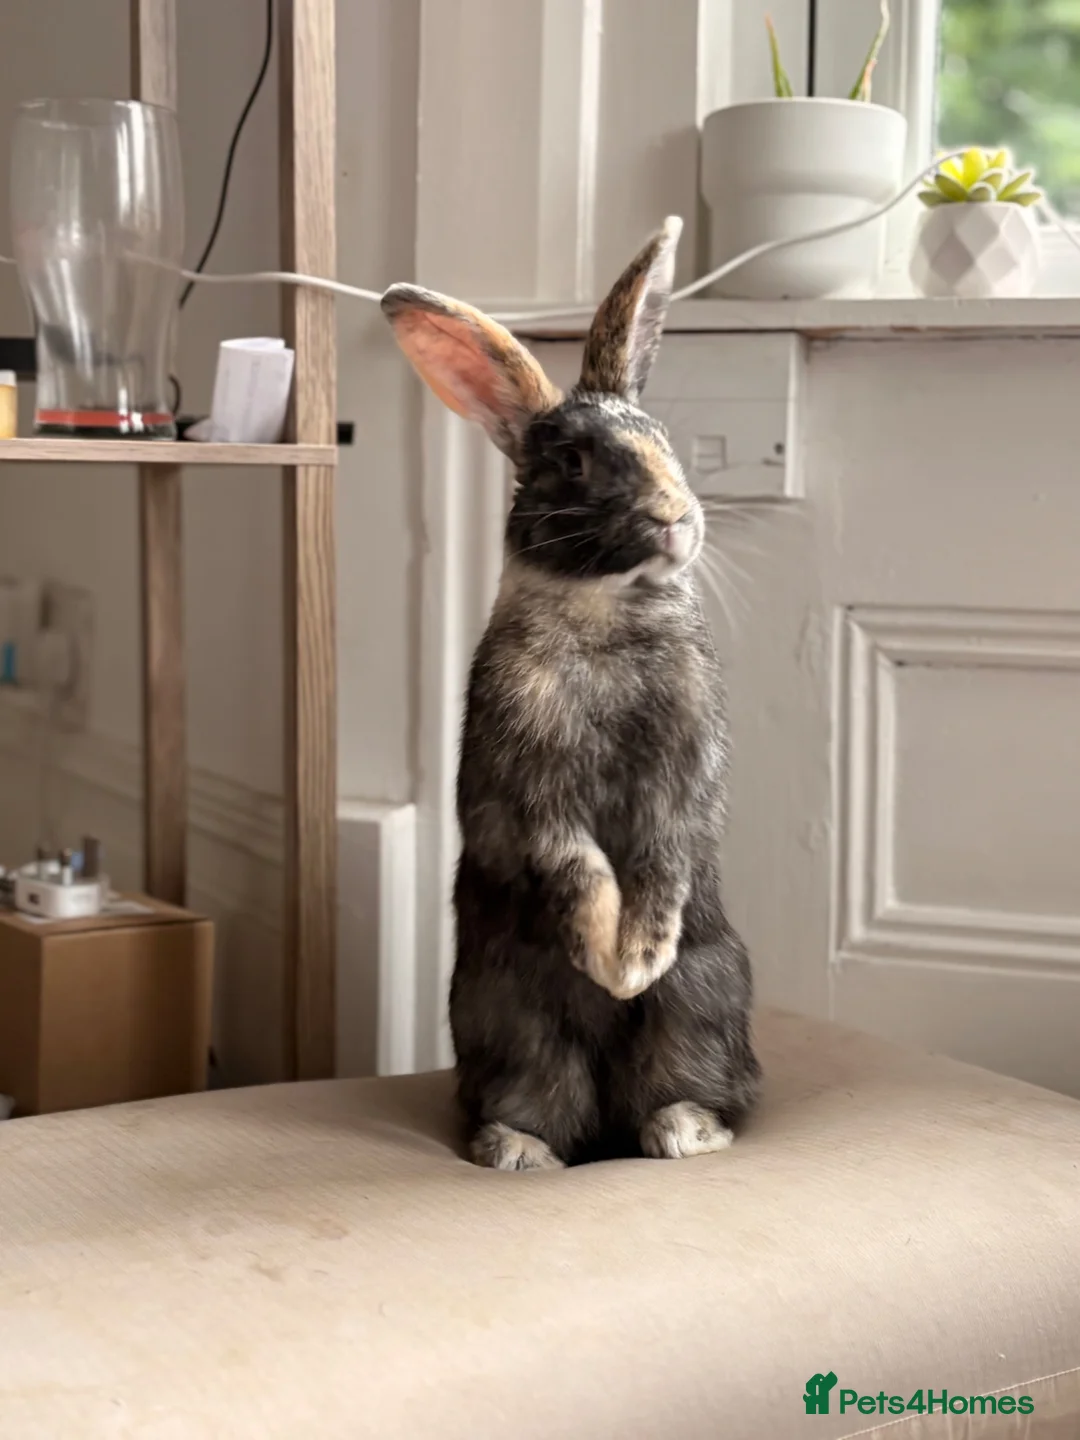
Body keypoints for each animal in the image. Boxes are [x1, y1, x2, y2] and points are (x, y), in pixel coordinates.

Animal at [381, 216, 760, 1169]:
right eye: (577, 463)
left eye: (666, 439)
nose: (676, 517)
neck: (605, 606)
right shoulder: (532, 788)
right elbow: (577, 866)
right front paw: (605, 959)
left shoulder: (682, 778)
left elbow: (661, 854)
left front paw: (635, 963)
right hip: (507, 1022)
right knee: (539, 1096)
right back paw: (518, 1151)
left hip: (706, 1005)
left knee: (691, 1087)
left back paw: (685, 1132)